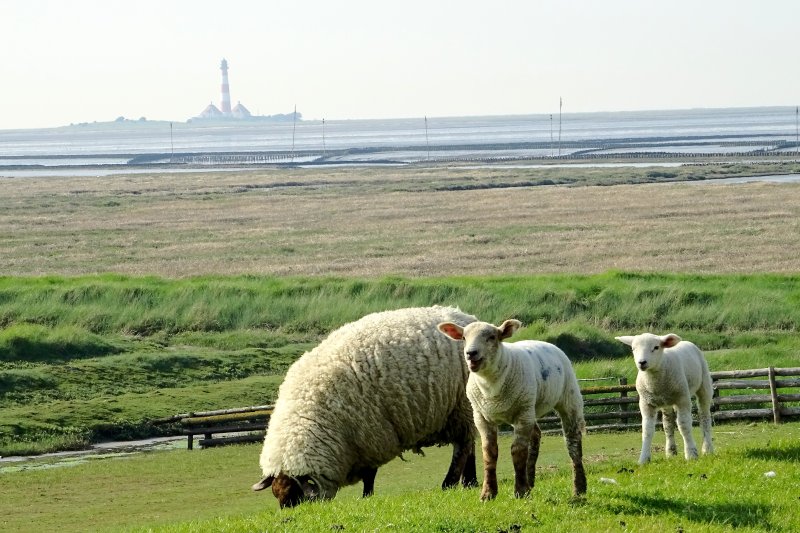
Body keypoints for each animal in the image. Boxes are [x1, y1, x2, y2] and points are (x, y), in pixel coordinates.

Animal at [252, 306, 479, 508]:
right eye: (277, 496)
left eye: (297, 497)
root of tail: (466, 317)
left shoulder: (371, 435)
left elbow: (370, 475)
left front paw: (366, 497)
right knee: (471, 447)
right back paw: (470, 483)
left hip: (461, 407)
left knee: (462, 447)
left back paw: (449, 484)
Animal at [437, 319, 587, 501]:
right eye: (464, 338)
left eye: (492, 337)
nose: (471, 353)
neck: (491, 388)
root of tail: (548, 344)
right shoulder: (481, 417)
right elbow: (489, 452)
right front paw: (488, 493)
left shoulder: (522, 415)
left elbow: (518, 451)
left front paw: (520, 491)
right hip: (530, 408)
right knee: (536, 435)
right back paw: (530, 481)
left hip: (567, 398)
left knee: (573, 442)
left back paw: (579, 488)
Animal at [615, 333, 714, 465]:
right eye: (633, 349)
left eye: (656, 347)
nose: (642, 362)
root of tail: (687, 342)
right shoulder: (646, 403)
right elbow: (647, 431)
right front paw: (643, 459)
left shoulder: (683, 399)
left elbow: (684, 426)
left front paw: (691, 454)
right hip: (666, 402)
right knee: (668, 424)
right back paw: (671, 452)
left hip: (704, 385)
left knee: (704, 416)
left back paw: (707, 449)